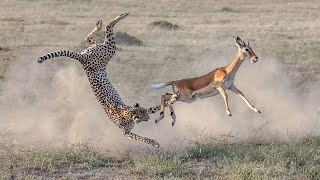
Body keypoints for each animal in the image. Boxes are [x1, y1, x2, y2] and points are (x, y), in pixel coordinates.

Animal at [37, 12, 161, 148]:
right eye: (143, 116)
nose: (148, 118)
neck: (129, 113)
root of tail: (81, 58)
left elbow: (157, 106)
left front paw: (170, 99)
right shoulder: (126, 133)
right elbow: (141, 138)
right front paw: (154, 143)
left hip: (97, 48)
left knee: (89, 39)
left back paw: (100, 25)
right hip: (108, 51)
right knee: (108, 29)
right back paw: (120, 16)